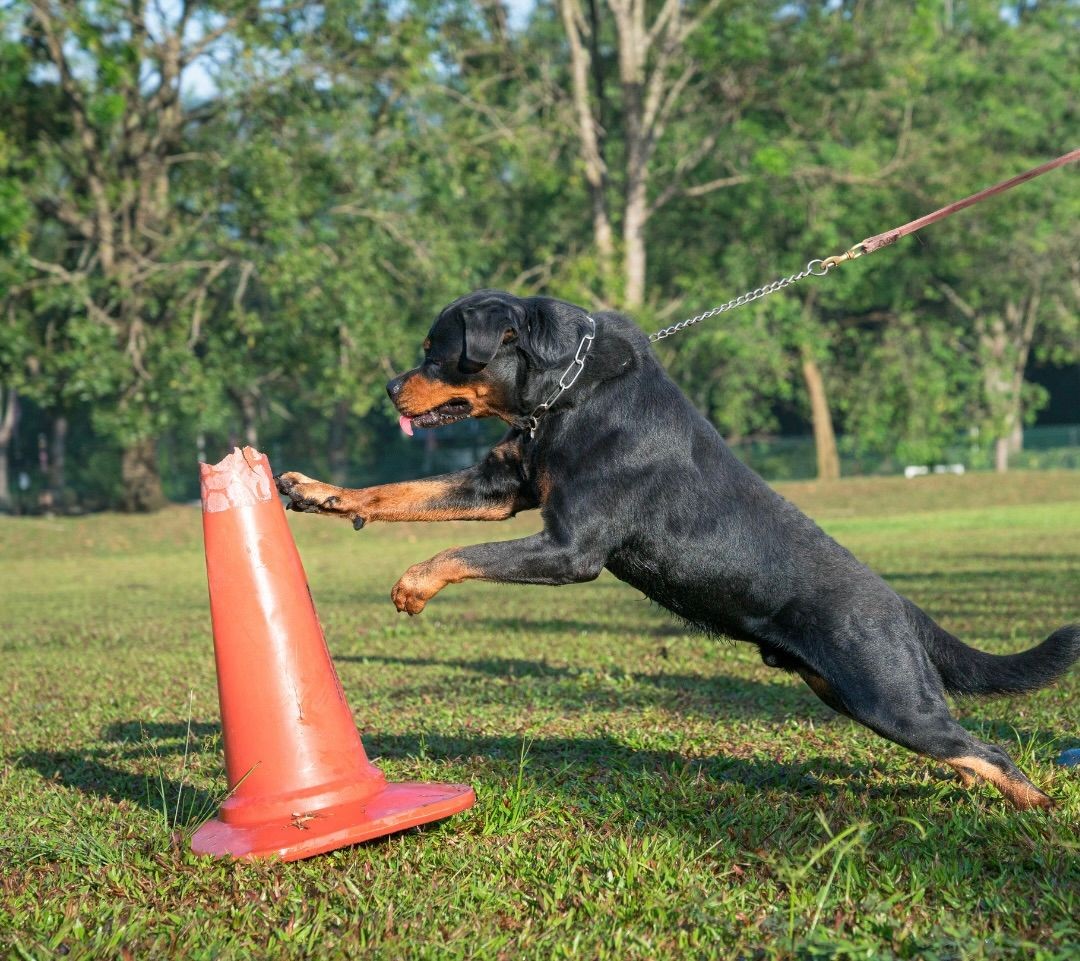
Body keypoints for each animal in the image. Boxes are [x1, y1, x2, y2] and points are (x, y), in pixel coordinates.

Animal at [278, 289, 1080, 803]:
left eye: (438, 353)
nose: (389, 387)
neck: (565, 397)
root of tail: (906, 608)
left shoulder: (570, 547)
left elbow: (458, 555)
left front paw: (413, 583)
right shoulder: (498, 488)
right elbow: (399, 492)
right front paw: (317, 492)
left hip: (889, 697)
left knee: (991, 749)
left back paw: (1036, 810)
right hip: (855, 695)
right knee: (968, 750)